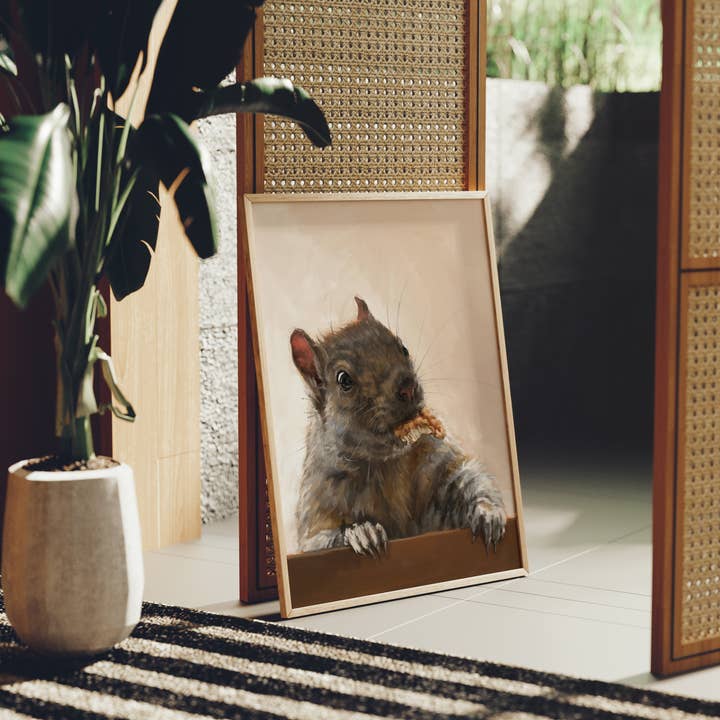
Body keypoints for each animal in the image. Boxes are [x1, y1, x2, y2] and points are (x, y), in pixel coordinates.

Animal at [291, 296, 507, 557]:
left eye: (403, 347)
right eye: (344, 380)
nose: (408, 387)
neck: (384, 464)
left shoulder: (434, 456)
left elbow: (465, 476)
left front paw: (488, 512)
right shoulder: (318, 504)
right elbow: (317, 540)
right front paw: (361, 532)